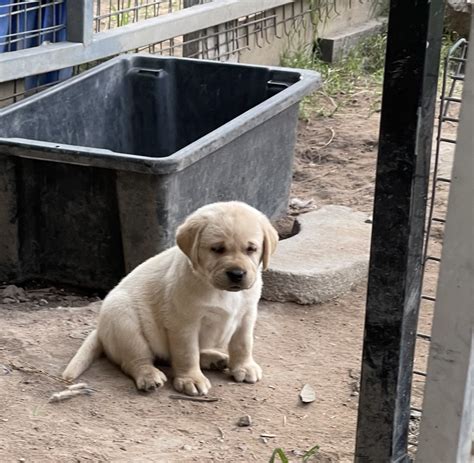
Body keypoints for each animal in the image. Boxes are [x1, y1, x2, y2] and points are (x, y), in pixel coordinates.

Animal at [62, 201, 278, 396]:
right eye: (217, 249)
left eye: (251, 249)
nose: (237, 274)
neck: (219, 290)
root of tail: (100, 330)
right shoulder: (184, 323)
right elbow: (187, 353)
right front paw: (191, 379)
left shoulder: (247, 315)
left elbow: (243, 343)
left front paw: (244, 366)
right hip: (124, 320)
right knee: (135, 360)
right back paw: (149, 376)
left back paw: (214, 359)